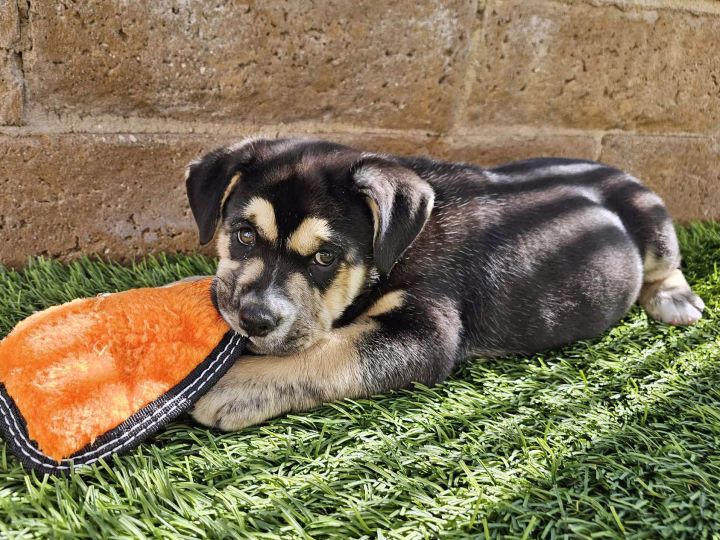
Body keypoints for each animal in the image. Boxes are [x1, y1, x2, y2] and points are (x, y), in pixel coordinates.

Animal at [184, 136, 704, 430]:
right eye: (244, 235)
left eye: (325, 257)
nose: (254, 319)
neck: (391, 250)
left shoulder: (428, 329)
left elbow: (333, 351)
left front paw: (236, 385)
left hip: (650, 220)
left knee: (666, 263)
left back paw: (675, 299)